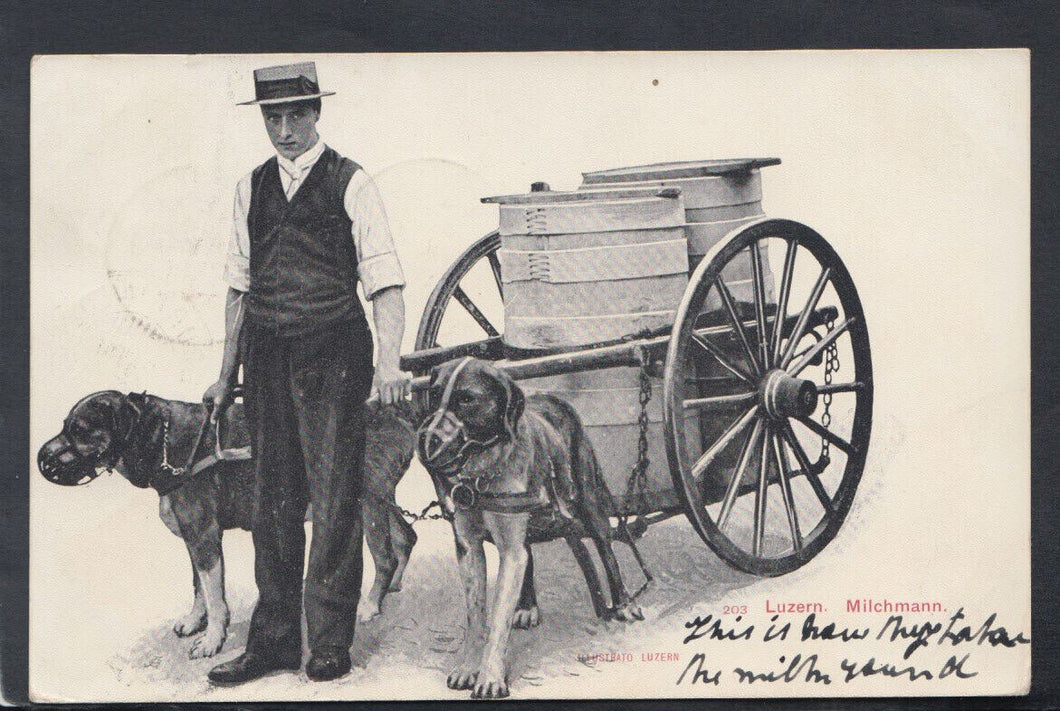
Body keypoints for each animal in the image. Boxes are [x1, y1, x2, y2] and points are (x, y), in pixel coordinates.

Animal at [41, 392, 421, 661]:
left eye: (81, 431)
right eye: (65, 425)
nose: (42, 457)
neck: (161, 438)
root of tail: (397, 409)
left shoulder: (204, 536)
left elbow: (213, 596)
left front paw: (211, 640)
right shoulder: (195, 539)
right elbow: (198, 587)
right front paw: (195, 622)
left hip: (368, 503)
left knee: (385, 556)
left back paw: (370, 606)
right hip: (383, 500)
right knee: (406, 536)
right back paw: (392, 588)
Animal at [417, 358, 640, 703]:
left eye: (467, 399)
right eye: (434, 394)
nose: (425, 439)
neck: (484, 471)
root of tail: (552, 396)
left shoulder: (510, 548)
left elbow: (498, 618)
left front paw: (491, 678)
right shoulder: (469, 547)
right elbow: (476, 614)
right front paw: (469, 668)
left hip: (590, 502)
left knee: (606, 550)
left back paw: (624, 602)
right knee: (529, 554)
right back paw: (527, 607)